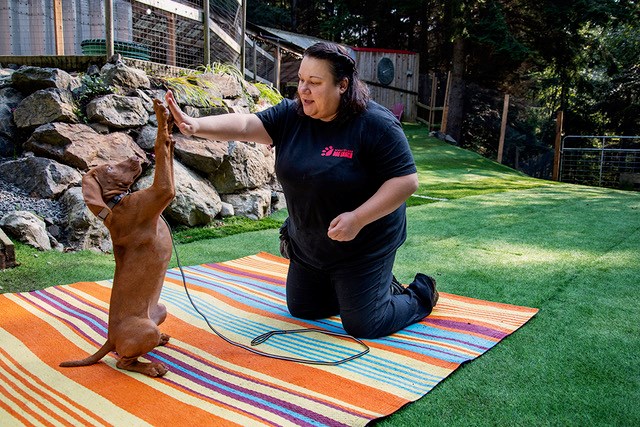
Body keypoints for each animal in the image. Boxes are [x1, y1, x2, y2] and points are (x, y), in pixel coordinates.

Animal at [61, 98, 175, 378]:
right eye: (110, 167)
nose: (135, 156)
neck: (117, 201)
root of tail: (110, 338)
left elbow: (167, 150)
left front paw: (169, 119)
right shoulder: (163, 190)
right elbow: (161, 146)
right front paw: (160, 116)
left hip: (161, 309)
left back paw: (162, 340)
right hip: (146, 330)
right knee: (123, 362)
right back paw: (152, 367)